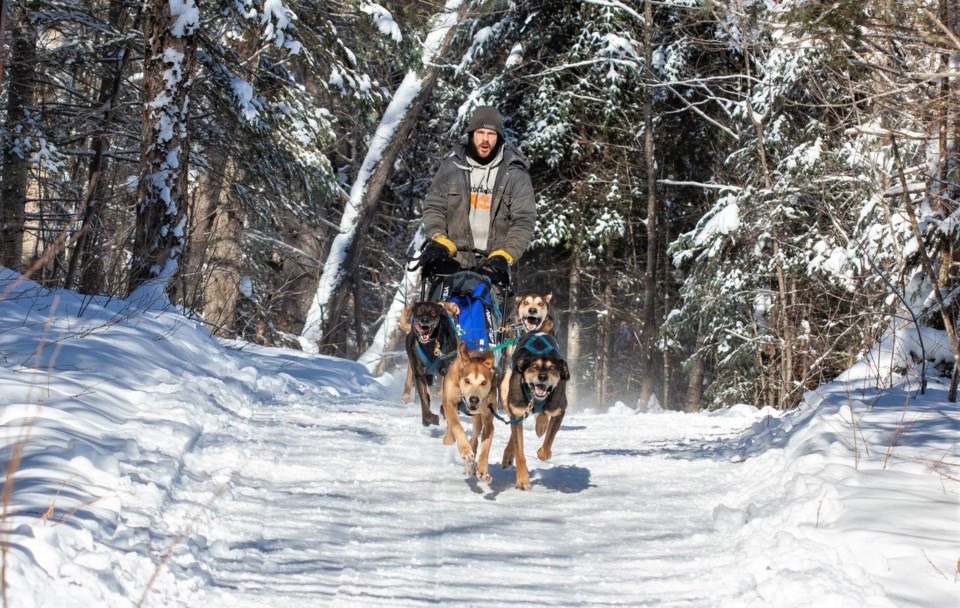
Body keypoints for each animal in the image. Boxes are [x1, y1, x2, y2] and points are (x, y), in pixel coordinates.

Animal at [398, 300, 458, 428]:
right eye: (419, 311)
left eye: (434, 311)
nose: (424, 320)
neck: (431, 346)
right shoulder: (419, 374)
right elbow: (424, 398)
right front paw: (428, 418)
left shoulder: (447, 370)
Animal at [440, 344, 498, 482]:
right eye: (467, 380)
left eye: (484, 382)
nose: (474, 399)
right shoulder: (449, 402)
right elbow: (456, 425)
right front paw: (465, 450)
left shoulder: (487, 417)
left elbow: (486, 446)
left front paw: (482, 470)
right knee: (450, 435)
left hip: (477, 420)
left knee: (475, 439)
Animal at [498, 330, 568, 492]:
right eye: (534, 366)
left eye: (552, 368)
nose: (543, 377)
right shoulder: (516, 411)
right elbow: (520, 453)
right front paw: (523, 480)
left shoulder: (559, 411)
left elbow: (547, 445)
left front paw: (543, 452)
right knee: (513, 434)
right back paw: (508, 455)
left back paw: (541, 424)